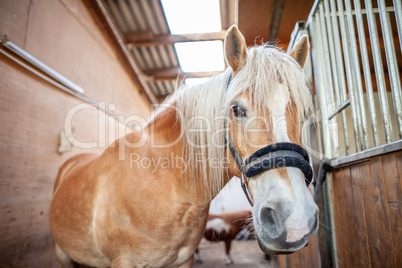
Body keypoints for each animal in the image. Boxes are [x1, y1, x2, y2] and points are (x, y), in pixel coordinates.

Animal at [48, 25, 318, 268]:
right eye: (237, 109)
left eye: (306, 114)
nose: (295, 218)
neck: (163, 178)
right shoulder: (124, 261)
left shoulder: (184, 260)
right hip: (63, 254)